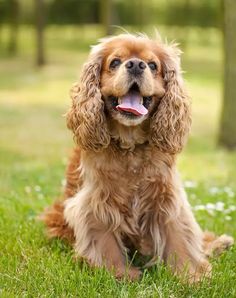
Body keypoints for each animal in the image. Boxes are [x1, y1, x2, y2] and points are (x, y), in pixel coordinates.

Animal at [42, 33, 234, 282]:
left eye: (152, 65)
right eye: (115, 62)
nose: (135, 64)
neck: (130, 145)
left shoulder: (167, 197)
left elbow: (180, 237)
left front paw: (190, 275)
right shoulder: (96, 202)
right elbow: (105, 243)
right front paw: (121, 274)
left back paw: (220, 243)